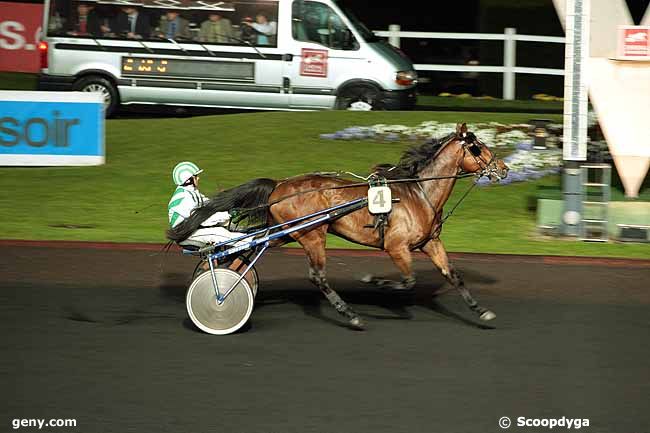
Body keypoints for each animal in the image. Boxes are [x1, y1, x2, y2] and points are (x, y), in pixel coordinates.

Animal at [167, 123, 506, 330]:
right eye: (477, 147)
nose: (503, 169)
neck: (418, 192)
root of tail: (280, 185)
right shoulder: (397, 247)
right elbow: (407, 280)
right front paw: (374, 281)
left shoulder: (430, 243)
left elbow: (454, 275)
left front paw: (482, 311)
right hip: (312, 235)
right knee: (316, 275)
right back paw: (349, 315)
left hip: (284, 233)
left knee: (244, 254)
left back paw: (231, 280)